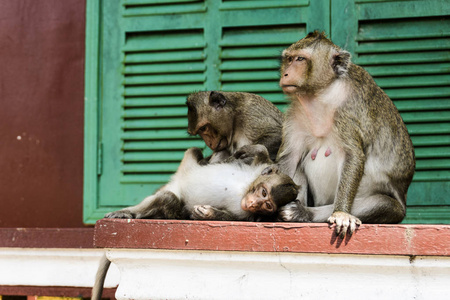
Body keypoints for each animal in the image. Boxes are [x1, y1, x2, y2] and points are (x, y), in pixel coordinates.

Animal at [93, 144, 298, 298]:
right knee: (193, 152)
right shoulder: (256, 170)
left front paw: (208, 214)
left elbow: (232, 217)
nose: (255, 203)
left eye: (267, 205)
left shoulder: (247, 215)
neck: (244, 189)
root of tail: (174, 184)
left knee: (168, 199)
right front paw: (247, 151)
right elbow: (261, 156)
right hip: (185, 167)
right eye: (263, 193)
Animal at [270, 30, 414, 237]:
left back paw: (304, 213)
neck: (321, 94)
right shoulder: (295, 115)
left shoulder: (348, 112)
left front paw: (341, 214)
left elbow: (353, 155)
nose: (286, 73)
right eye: (288, 59)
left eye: (300, 59)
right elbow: (290, 158)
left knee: (383, 204)